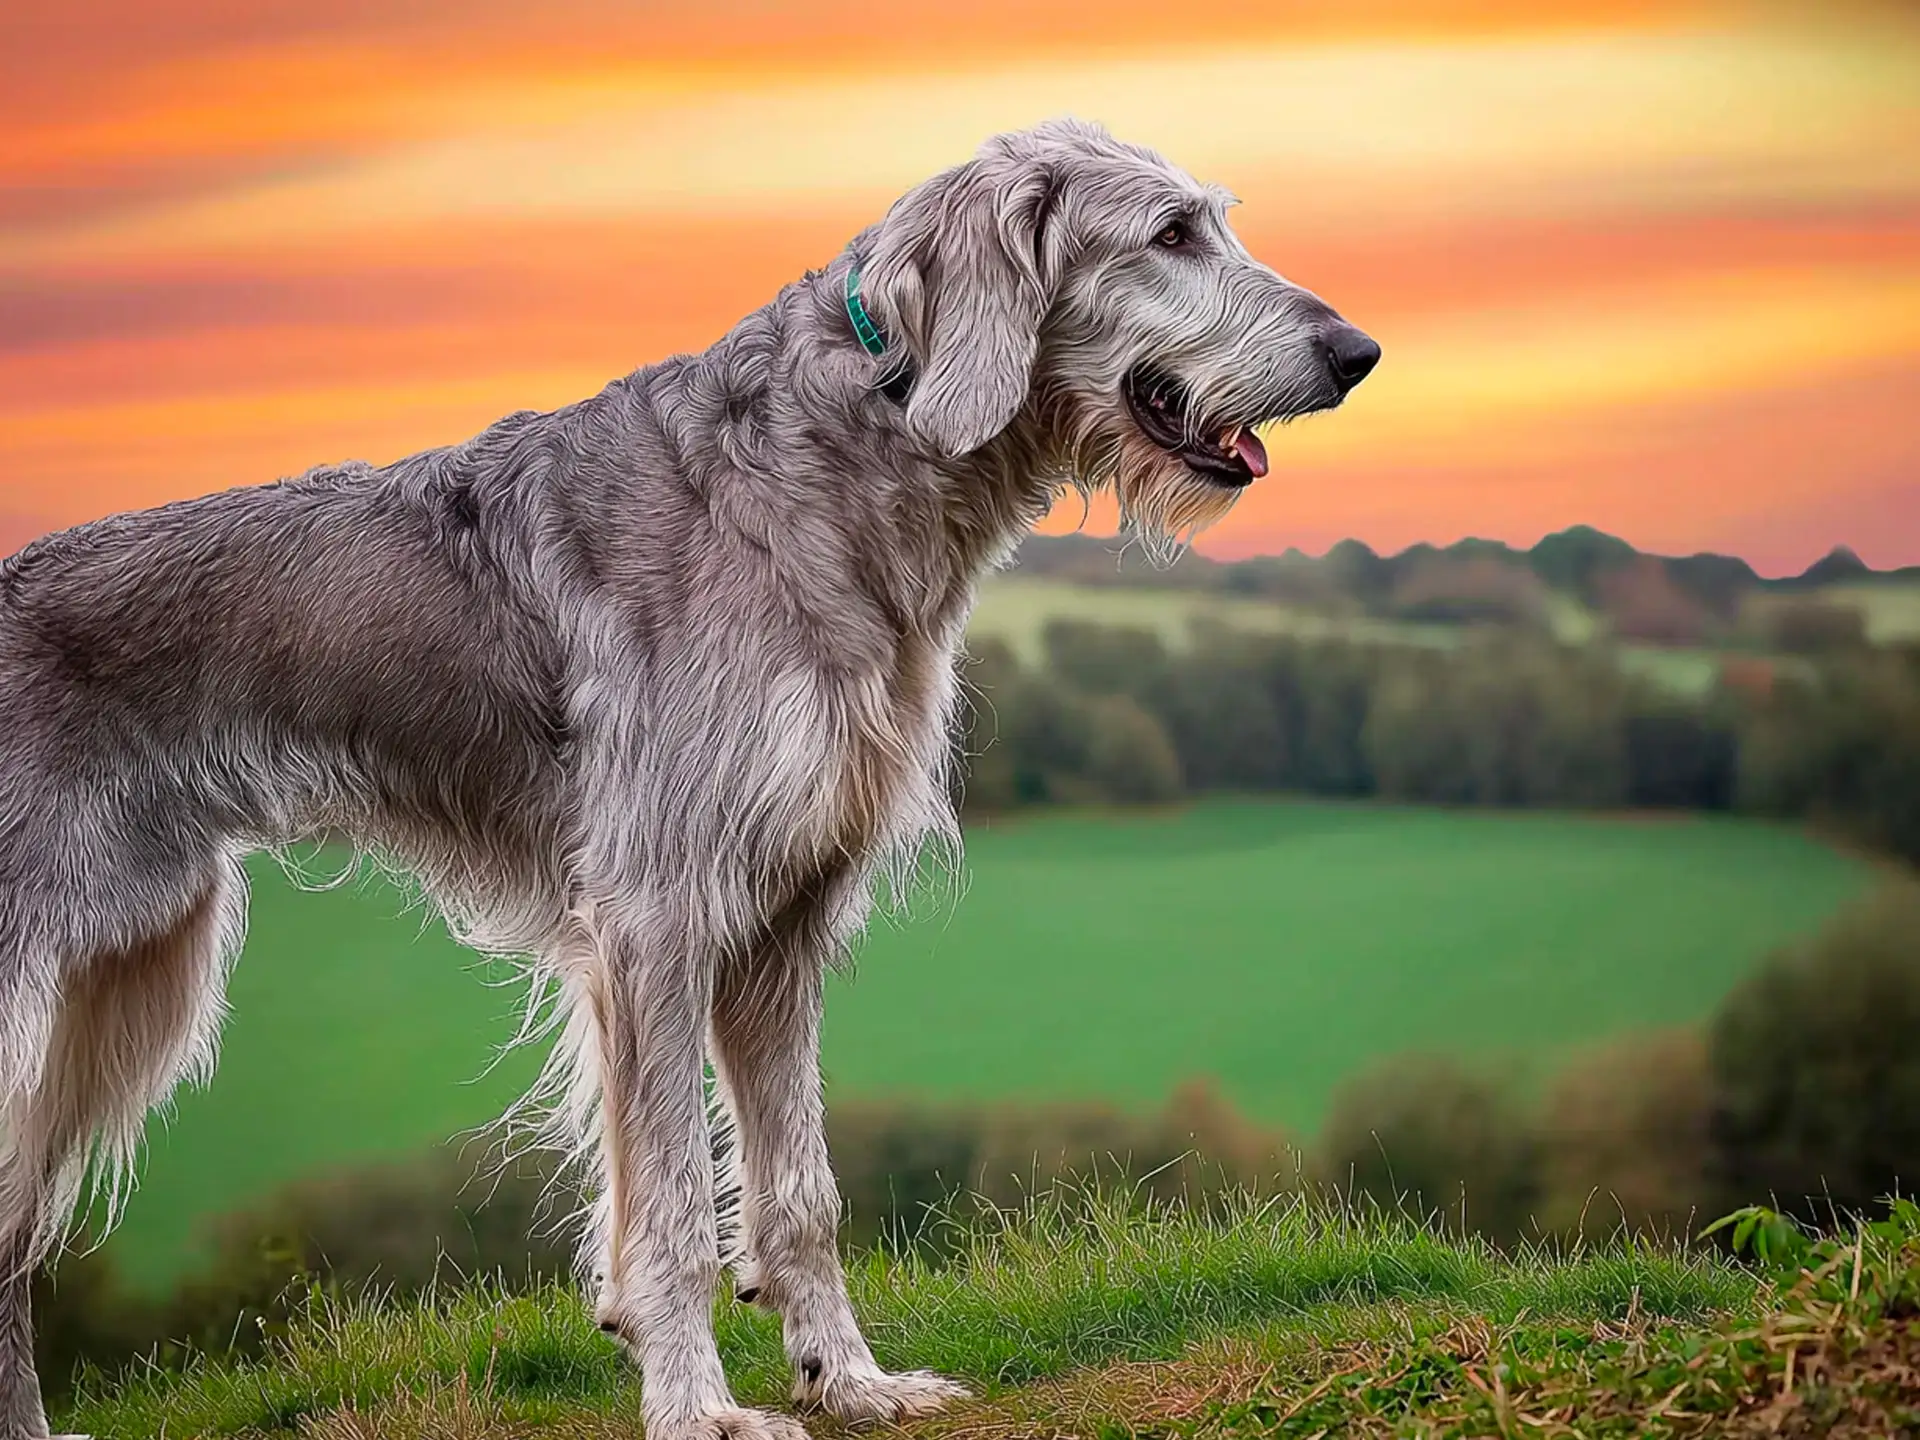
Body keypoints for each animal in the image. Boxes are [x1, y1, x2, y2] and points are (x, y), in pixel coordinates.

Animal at [0, 118, 1382, 1436]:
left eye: (1214, 221)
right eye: (1170, 233)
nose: (1358, 353)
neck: (838, 457)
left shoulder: (786, 919)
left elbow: (801, 1192)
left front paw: (849, 1379)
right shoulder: (656, 921)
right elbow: (666, 1207)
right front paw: (698, 1408)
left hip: (127, 979)